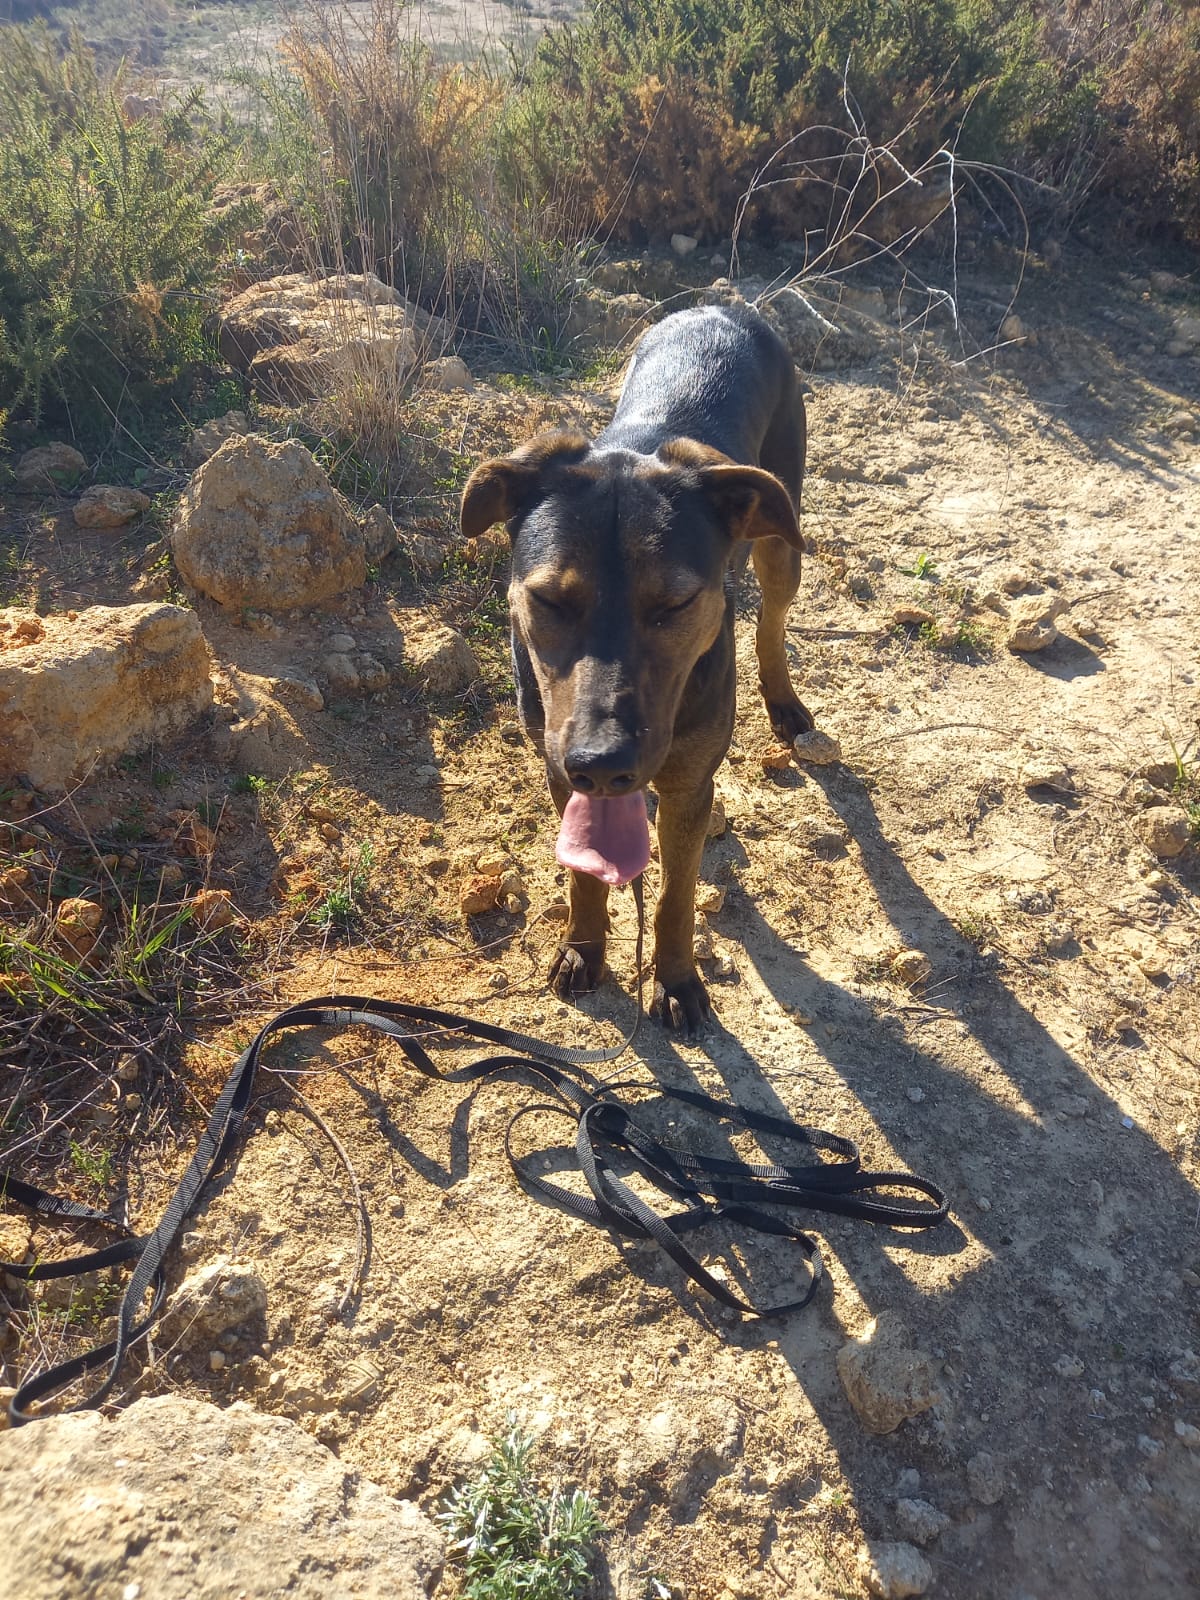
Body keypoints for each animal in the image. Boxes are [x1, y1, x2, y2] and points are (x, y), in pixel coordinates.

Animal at [460, 303, 811, 1033]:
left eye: (673, 605)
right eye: (549, 601)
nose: (603, 763)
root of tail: (725, 304)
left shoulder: (687, 782)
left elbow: (676, 897)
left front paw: (675, 979)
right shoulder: (556, 764)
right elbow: (584, 873)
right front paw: (583, 948)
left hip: (780, 532)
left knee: (772, 619)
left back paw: (784, 700)